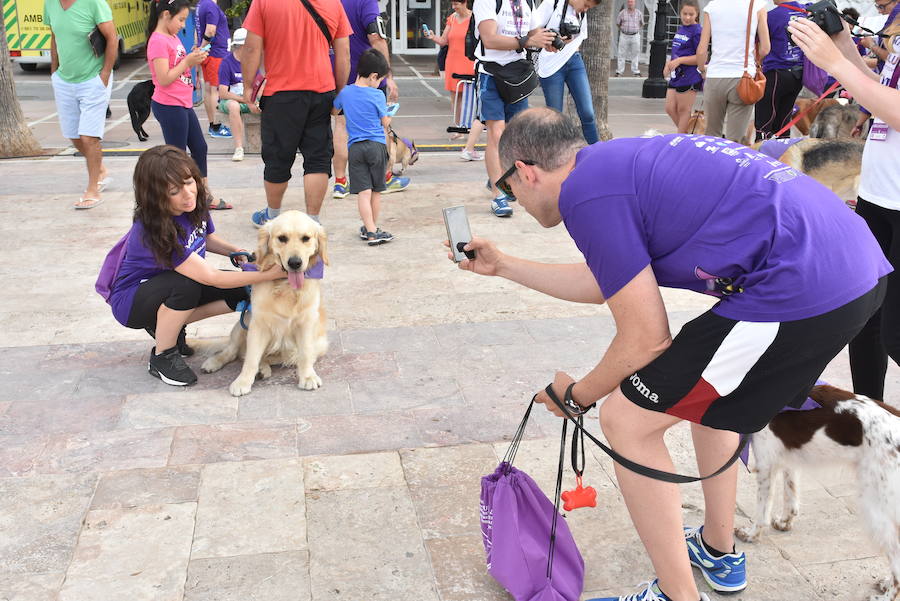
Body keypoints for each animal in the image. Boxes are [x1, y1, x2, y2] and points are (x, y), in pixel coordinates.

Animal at [740, 384, 900, 600]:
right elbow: (790, 496)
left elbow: (761, 512)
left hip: (876, 505)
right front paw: (784, 522)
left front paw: (751, 535)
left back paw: (886, 595)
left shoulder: (766, 463)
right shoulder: (787, 457)